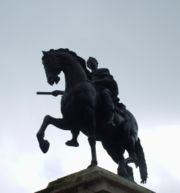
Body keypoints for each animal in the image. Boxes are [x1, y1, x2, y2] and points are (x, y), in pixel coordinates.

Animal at [37, 47, 148, 182]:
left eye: (48, 62)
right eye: (43, 64)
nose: (50, 80)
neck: (75, 86)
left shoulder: (89, 115)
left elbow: (91, 139)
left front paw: (93, 163)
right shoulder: (69, 121)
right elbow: (47, 119)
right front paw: (43, 144)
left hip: (128, 135)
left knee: (133, 157)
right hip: (110, 145)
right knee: (126, 163)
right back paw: (125, 174)